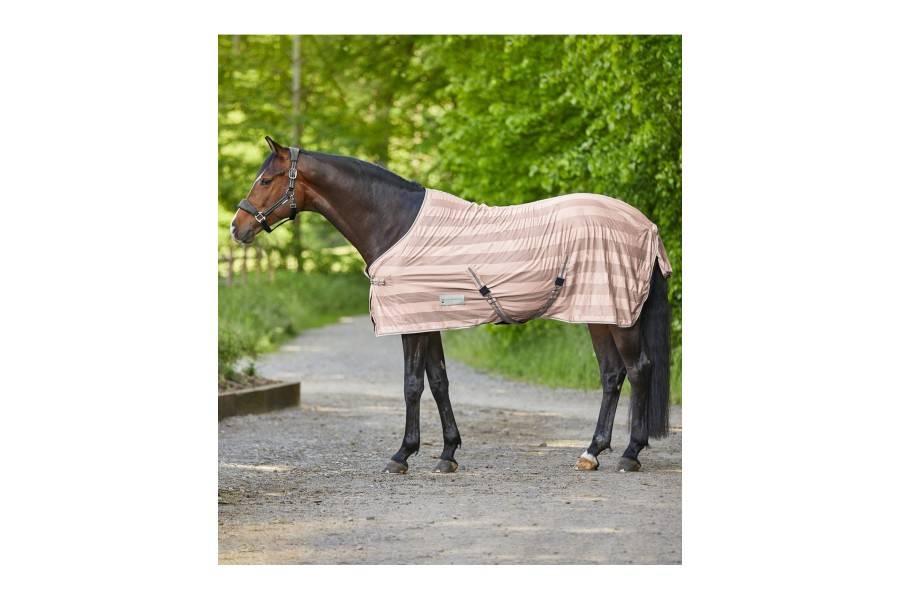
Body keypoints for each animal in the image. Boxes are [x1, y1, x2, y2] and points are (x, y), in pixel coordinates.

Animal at [230, 136, 672, 474]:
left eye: (265, 179)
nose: (237, 227)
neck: (394, 223)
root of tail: (645, 224)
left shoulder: (411, 322)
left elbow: (412, 385)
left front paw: (402, 456)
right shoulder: (429, 320)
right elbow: (439, 381)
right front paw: (447, 454)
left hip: (619, 317)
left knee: (638, 369)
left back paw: (630, 454)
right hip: (600, 313)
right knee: (612, 375)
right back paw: (591, 453)